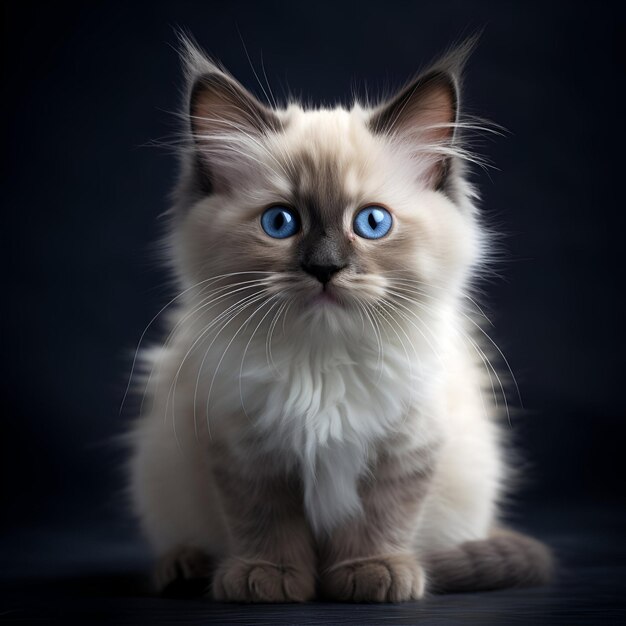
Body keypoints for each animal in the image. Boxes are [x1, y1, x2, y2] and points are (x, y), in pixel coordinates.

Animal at [127, 36, 552, 604]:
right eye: (280, 222)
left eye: (371, 223)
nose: (324, 268)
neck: (322, 361)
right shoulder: (245, 451)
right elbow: (265, 522)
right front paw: (270, 576)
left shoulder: (406, 448)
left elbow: (379, 520)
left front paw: (369, 572)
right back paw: (183, 566)